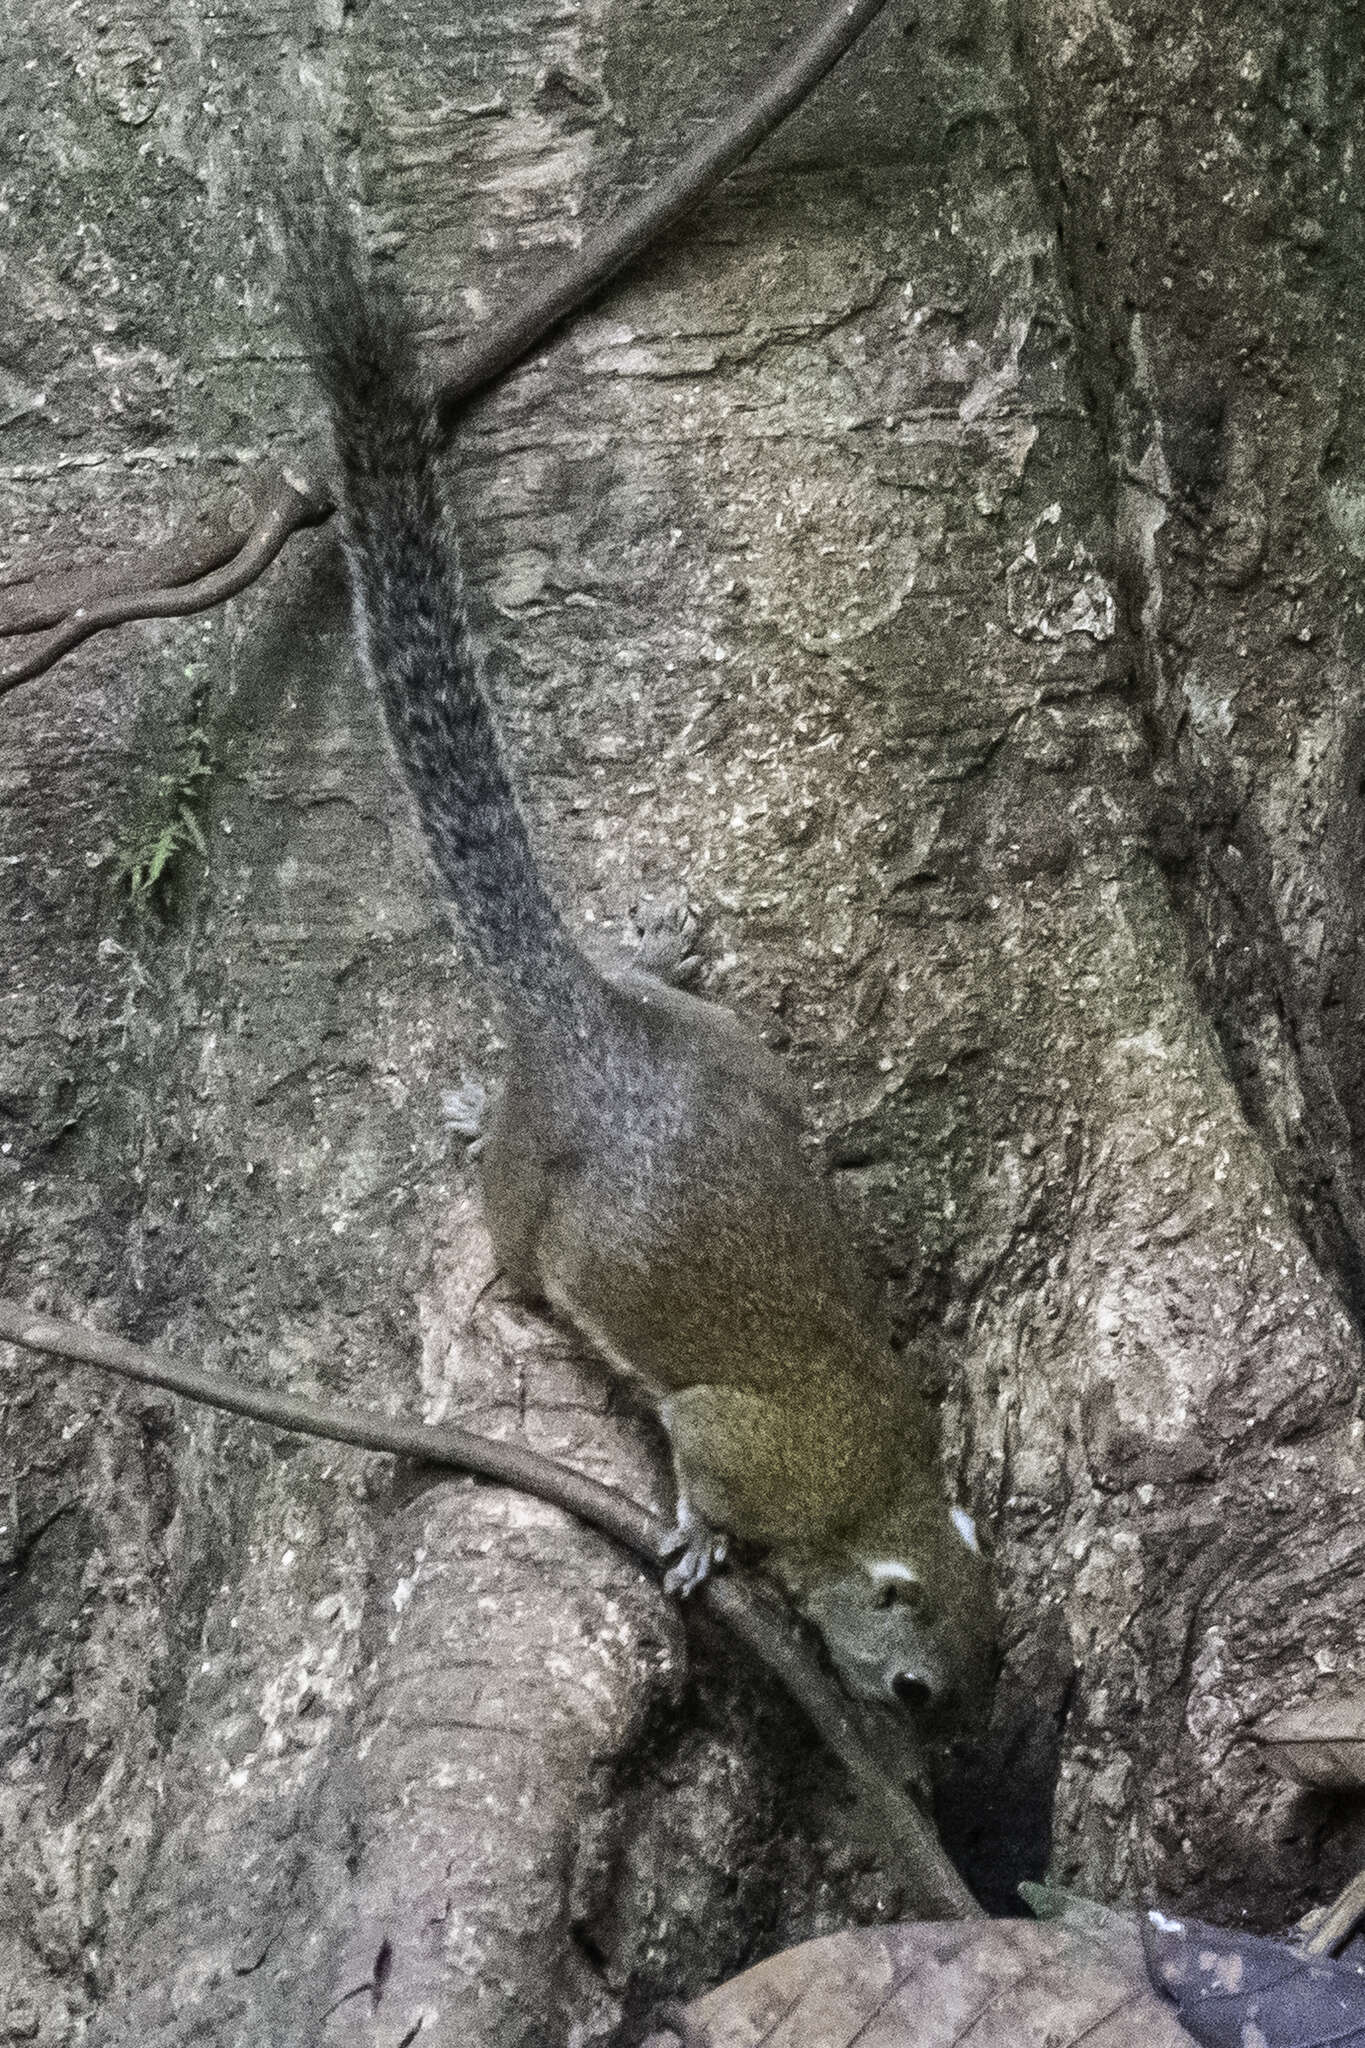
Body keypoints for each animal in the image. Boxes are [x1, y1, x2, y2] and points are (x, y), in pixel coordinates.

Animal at [286, 184, 994, 1720]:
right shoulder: (743, 1444)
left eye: (998, 1664)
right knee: (507, 1231)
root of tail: (583, 1021)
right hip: (523, 1196)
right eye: (918, 1687)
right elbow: (703, 1476)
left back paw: (656, 948)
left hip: (735, 1053)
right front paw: (693, 1545)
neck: (880, 1487)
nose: (941, 1753)